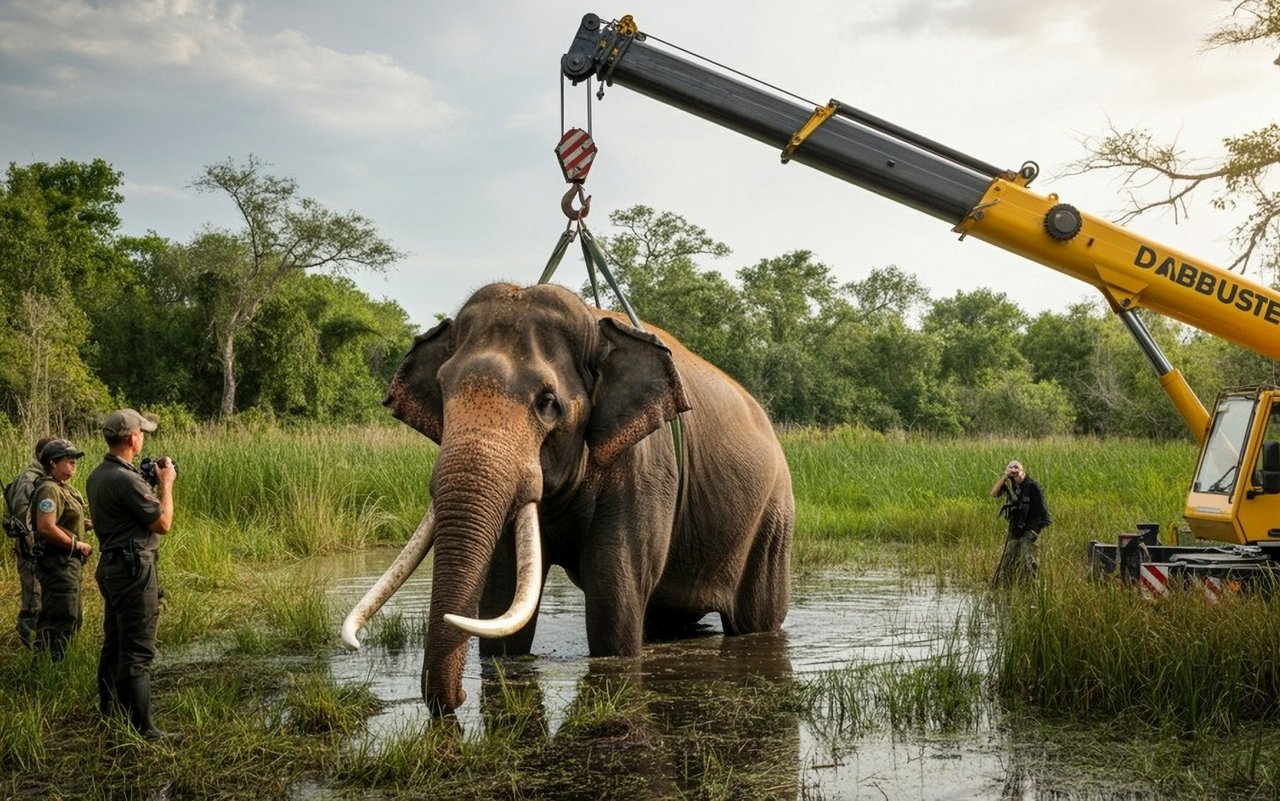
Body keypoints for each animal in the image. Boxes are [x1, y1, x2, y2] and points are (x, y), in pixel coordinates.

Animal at [340, 280, 788, 711]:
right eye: (442, 389)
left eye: (547, 403)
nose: (458, 700)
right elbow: (502, 596)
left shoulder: (645, 469)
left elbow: (612, 605)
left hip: (773, 520)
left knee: (755, 620)